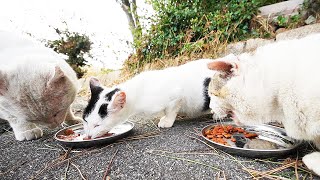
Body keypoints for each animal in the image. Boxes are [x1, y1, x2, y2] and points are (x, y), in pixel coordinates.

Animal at [82, 59, 218, 138]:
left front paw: (167, 121)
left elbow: (171, 110)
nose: (88, 136)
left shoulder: (176, 97)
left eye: (97, 125)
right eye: (85, 121)